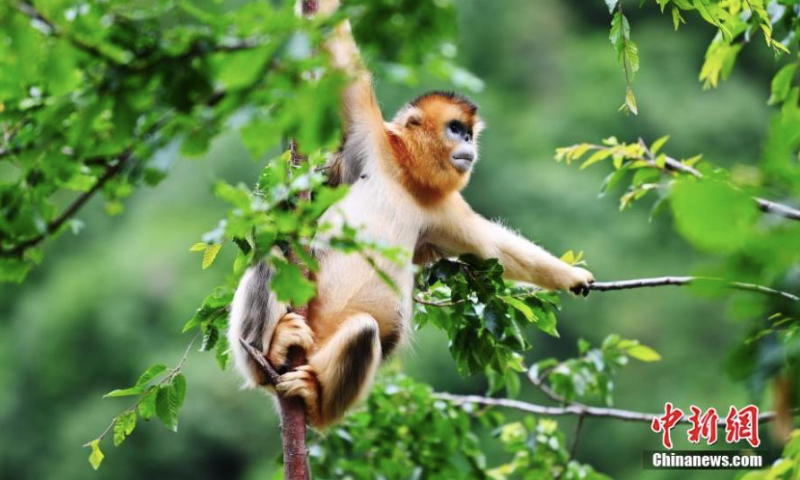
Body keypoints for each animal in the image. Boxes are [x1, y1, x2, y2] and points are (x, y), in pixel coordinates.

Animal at [227, 0, 595, 429]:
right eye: (456, 129)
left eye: (469, 133)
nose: (469, 146)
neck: (404, 175)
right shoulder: (369, 137)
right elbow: (339, 52)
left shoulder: (442, 209)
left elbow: (493, 249)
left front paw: (572, 277)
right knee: (275, 257)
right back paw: (270, 353)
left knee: (365, 333)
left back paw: (314, 401)